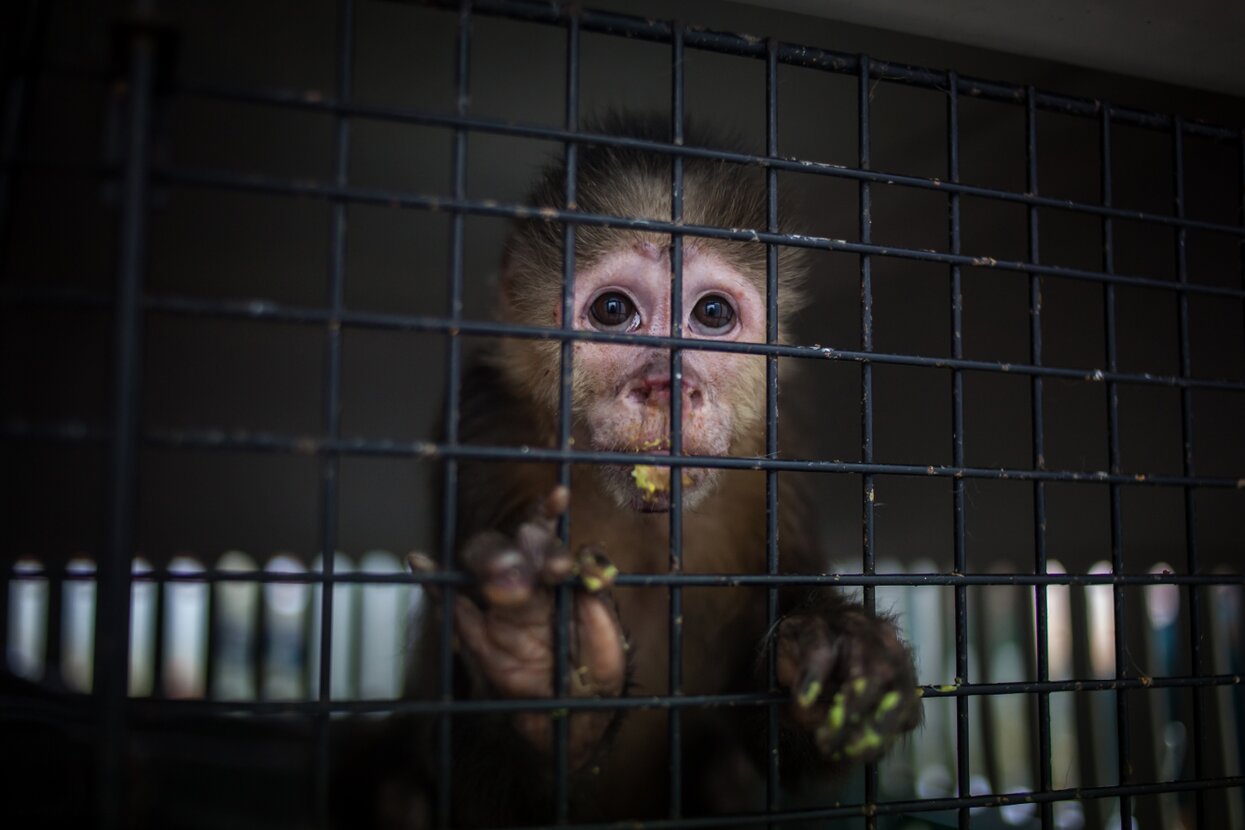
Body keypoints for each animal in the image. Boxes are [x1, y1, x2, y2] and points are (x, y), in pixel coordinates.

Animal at [393, 113, 921, 826]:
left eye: (712, 314)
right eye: (614, 311)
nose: (668, 385)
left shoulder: (780, 451)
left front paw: (845, 654)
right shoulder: (481, 427)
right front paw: (542, 670)